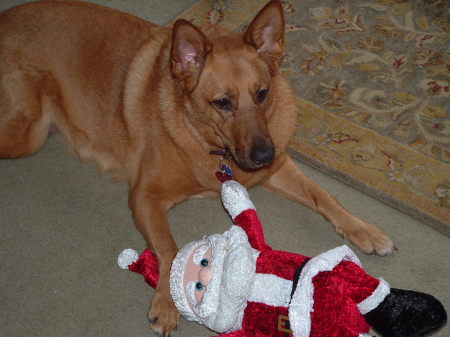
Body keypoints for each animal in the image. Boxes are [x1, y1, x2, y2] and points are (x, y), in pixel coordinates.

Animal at [0, 1, 394, 334]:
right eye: (222, 102)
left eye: (262, 94)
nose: (264, 155)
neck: (211, 146)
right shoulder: (144, 196)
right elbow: (169, 247)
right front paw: (166, 301)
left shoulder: (279, 168)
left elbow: (324, 196)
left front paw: (365, 230)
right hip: (27, 133)